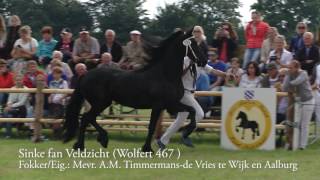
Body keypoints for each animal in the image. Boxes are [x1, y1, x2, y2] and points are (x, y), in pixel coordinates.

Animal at [63, 28, 206, 153]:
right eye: (193, 44)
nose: (204, 61)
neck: (165, 75)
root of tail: (85, 74)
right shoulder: (159, 105)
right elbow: (151, 126)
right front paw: (147, 149)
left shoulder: (171, 104)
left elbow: (192, 111)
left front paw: (186, 132)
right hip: (100, 103)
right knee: (87, 118)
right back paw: (92, 142)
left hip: (103, 103)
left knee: (87, 118)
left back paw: (87, 143)